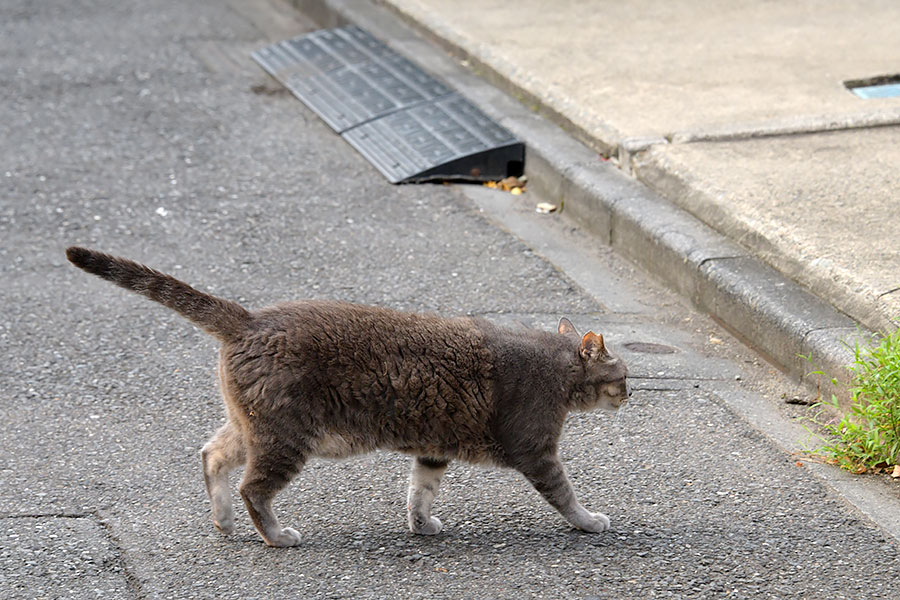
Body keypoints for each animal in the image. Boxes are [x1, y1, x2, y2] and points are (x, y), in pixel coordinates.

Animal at [67, 246, 628, 548]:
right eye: (623, 375)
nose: (631, 393)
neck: (553, 364)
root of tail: (250, 318)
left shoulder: (433, 449)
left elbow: (419, 493)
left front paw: (420, 525)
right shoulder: (536, 450)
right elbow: (565, 494)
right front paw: (589, 521)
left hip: (251, 426)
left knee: (212, 456)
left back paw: (222, 520)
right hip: (285, 437)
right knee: (254, 488)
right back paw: (275, 534)